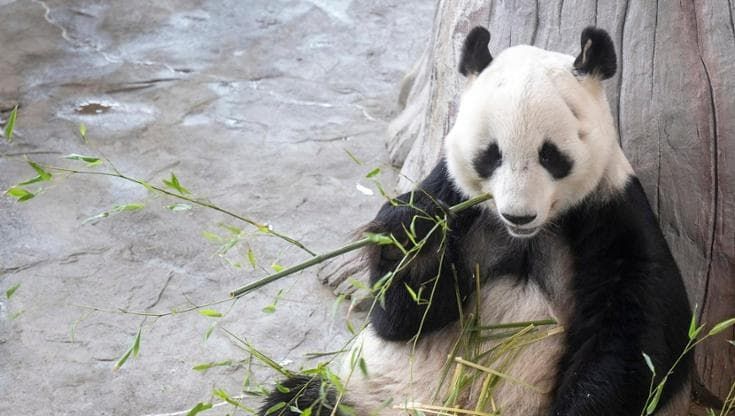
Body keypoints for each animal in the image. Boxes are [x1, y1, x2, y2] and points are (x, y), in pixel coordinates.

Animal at [260, 26, 692, 416]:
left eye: (551, 155)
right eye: (491, 154)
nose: (518, 214)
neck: (525, 236)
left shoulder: (610, 209)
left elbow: (635, 337)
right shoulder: (454, 194)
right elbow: (401, 318)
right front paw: (416, 237)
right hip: (364, 393)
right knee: (300, 400)